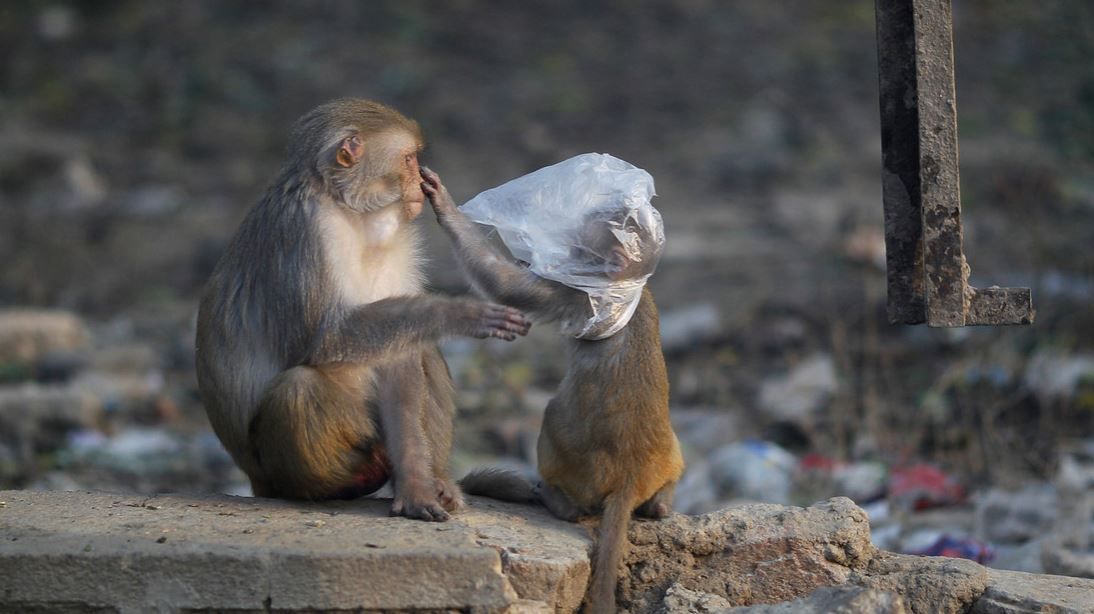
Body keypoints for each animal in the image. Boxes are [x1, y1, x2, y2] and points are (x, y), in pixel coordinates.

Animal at [194, 99, 531, 521]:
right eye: (408, 158)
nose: (419, 184)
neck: (351, 211)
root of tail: (255, 481)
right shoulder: (306, 230)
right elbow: (325, 338)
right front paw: (458, 314)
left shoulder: (398, 237)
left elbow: (399, 357)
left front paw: (417, 486)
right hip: (275, 470)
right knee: (298, 389)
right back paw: (341, 484)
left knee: (419, 348)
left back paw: (433, 478)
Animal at [421, 167, 684, 612]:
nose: (571, 245)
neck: (625, 285)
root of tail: (631, 476)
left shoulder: (573, 293)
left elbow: (505, 284)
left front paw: (445, 206)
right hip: (665, 459)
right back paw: (662, 503)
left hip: (578, 466)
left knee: (552, 422)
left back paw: (559, 502)